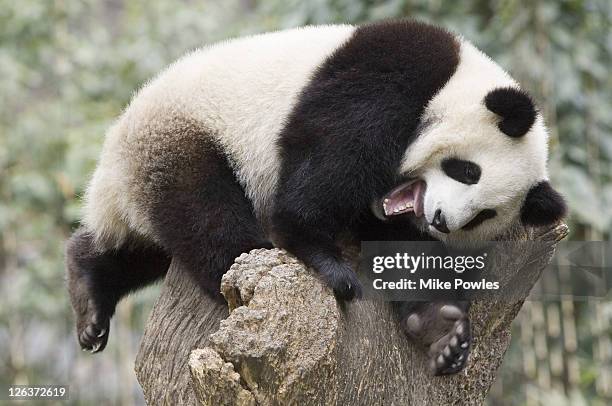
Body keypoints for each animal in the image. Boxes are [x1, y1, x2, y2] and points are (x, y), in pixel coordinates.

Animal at [65, 18, 564, 374]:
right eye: (466, 170)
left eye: (483, 215)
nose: (440, 218)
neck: (458, 84)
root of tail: (110, 172)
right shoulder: (393, 74)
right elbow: (331, 156)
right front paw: (328, 264)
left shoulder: (388, 214)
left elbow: (404, 248)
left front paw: (442, 332)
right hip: (178, 136)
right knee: (203, 212)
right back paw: (245, 259)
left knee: (143, 248)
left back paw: (90, 292)